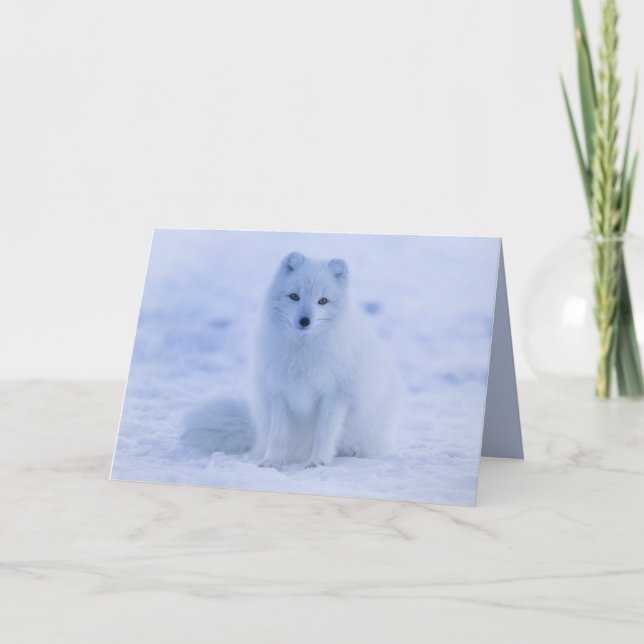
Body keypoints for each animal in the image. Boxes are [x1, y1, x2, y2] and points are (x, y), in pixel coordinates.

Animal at [182, 251, 401, 469]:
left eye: (323, 301)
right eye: (294, 296)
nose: (304, 321)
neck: (303, 352)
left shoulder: (335, 396)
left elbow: (323, 435)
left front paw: (317, 461)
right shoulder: (279, 392)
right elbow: (278, 436)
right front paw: (271, 461)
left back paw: (350, 451)